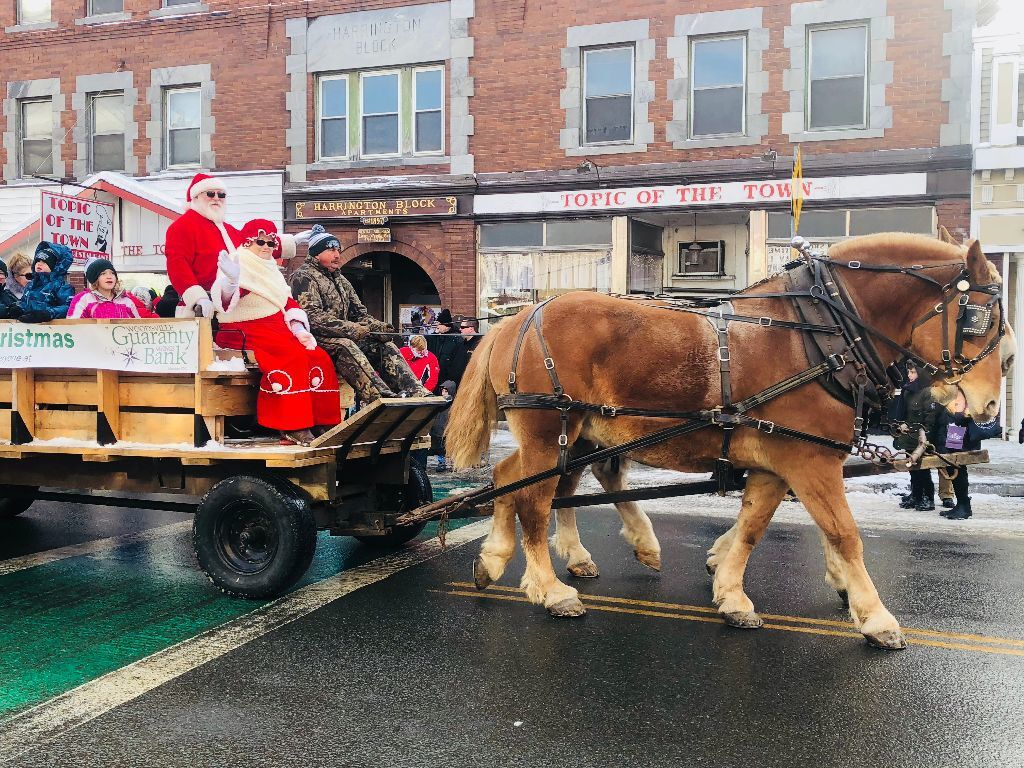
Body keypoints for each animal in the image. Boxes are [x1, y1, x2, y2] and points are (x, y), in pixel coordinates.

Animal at [450, 234, 1007, 651]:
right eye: (980, 320)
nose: (989, 408)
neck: (819, 336)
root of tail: (515, 319)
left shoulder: (777, 461)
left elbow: (755, 526)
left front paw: (731, 591)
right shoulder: (809, 460)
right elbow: (843, 532)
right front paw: (876, 617)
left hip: (576, 433)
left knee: (517, 480)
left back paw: (502, 558)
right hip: (551, 429)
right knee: (534, 499)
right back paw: (551, 589)